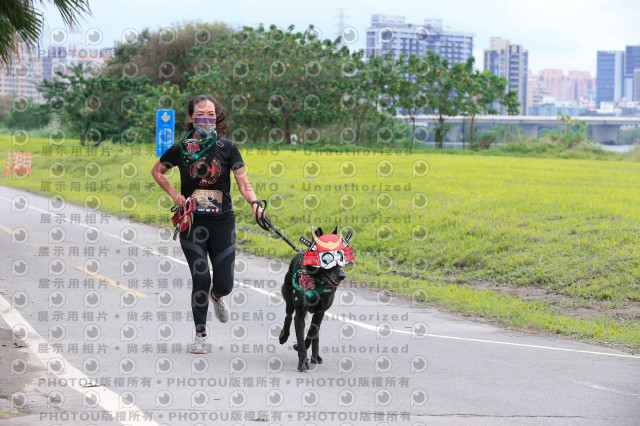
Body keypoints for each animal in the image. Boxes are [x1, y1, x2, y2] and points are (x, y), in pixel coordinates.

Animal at [278, 228, 352, 372]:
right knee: (288, 316)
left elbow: (311, 333)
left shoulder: (320, 312)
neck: (317, 280)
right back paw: (283, 336)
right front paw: (302, 361)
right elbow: (301, 337)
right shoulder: (300, 313)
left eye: (341, 258)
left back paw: (315, 356)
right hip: (290, 299)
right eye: (327, 260)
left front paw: (305, 351)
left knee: (315, 333)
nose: (342, 276)